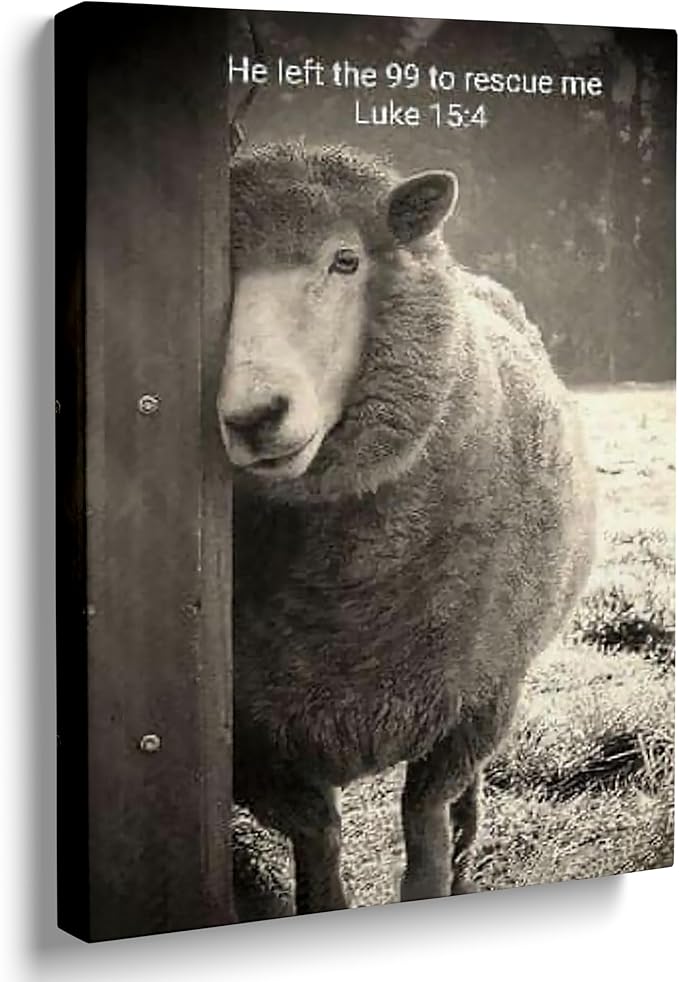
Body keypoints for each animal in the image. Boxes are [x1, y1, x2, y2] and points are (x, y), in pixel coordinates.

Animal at [220, 142, 596, 915]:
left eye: (345, 261)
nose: (252, 416)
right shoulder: (256, 741)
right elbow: (318, 840)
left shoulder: (475, 704)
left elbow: (423, 824)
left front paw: (435, 878)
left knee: (462, 807)